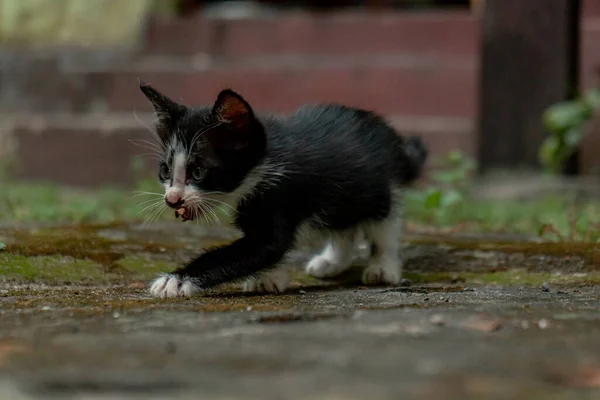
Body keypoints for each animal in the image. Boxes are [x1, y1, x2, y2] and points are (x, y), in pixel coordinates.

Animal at [141, 83, 428, 298]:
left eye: (198, 172)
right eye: (166, 170)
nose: (171, 199)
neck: (261, 167)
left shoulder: (281, 196)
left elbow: (260, 248)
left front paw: (175, 280)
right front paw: (269, 278)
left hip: (380, 187)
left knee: (384, 224)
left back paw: (383, 267)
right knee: (343, 224)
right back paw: (332, 261)